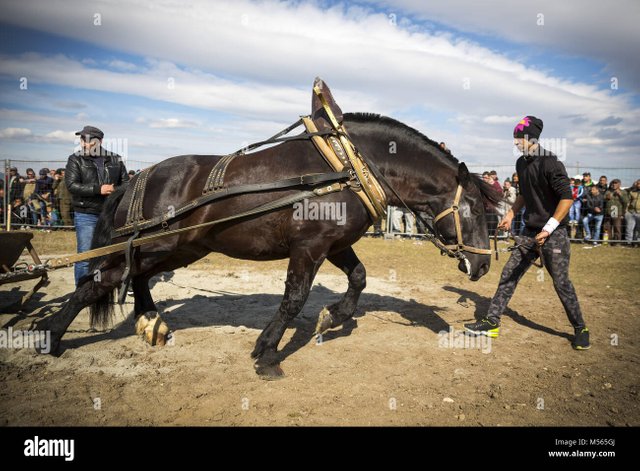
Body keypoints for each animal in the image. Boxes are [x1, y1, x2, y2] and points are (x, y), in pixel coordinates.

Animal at [35, 112, 500, 378]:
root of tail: (136, 178)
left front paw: (333, 317)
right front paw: (267, 352)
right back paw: (50, 335)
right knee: (101, 280)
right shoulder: (310, 246)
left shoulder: (334, 244)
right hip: (162, 243)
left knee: (136, 276)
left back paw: (151, 322)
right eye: (476, 208)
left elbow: (360, 278)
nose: (482, 266)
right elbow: (293, 299)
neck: (348, 167)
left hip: (181, 247)